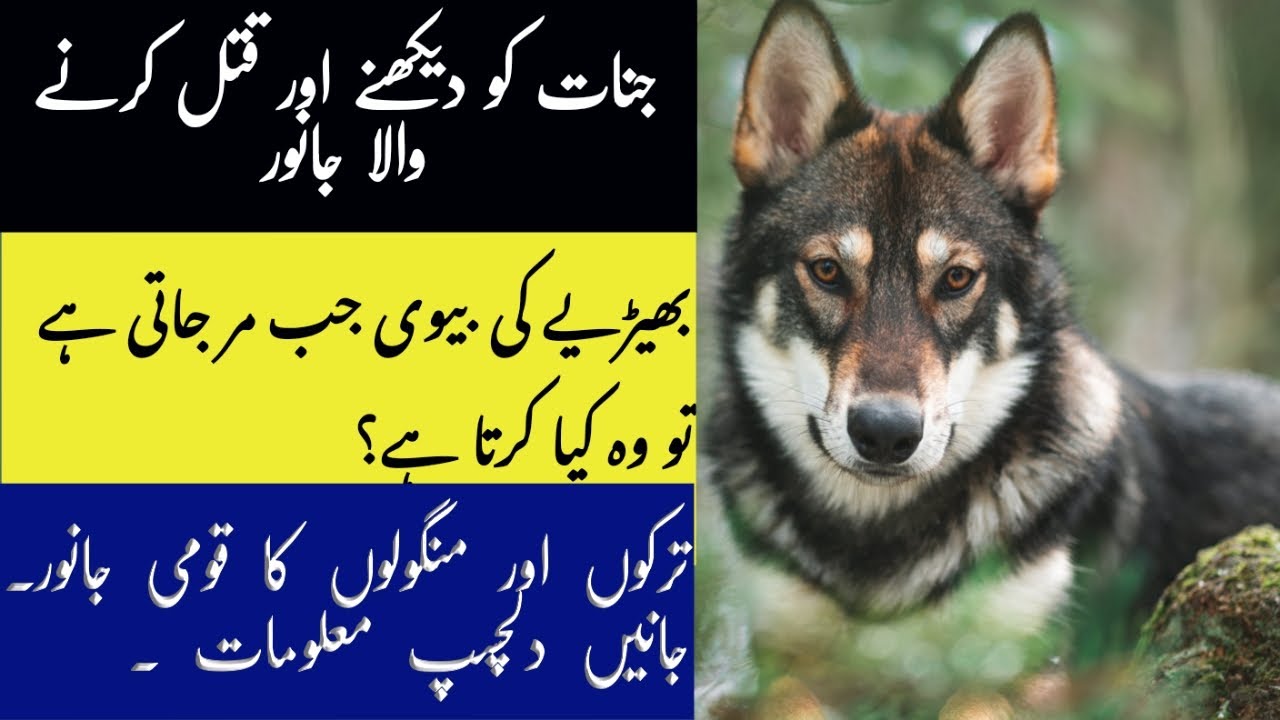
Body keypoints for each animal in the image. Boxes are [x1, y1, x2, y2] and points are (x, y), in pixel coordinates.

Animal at [702, 0, 1280, 715]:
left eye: (956, 279)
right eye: (828, 271)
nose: (885, 434)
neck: (878, 549)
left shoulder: (1036, 675)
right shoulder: (781, 662)